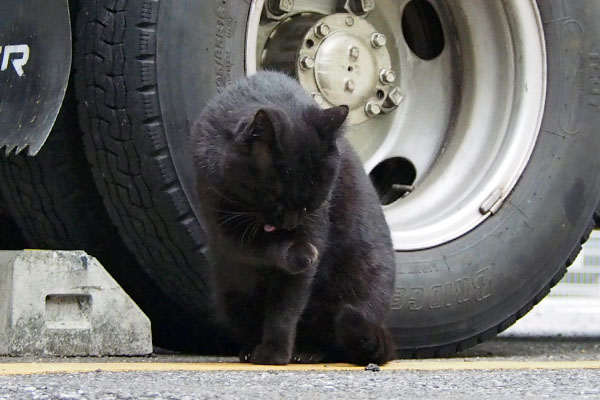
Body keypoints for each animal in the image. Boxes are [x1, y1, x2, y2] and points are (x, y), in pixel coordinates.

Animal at [193, 70, 398, 364]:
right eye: (274, 197)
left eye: (312, 204)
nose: (290, 225)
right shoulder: (223, 223)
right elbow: (256, 246)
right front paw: (298, 252)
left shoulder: (314, 228)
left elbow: (285, 309)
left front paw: (274, 352)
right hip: (230, 292)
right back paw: (249, 349)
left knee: (334, 339)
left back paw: (307, 351)